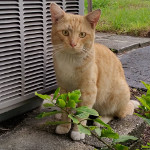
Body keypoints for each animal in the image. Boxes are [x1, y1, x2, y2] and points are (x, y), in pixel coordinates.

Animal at [49, 2, 139, 141]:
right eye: (65, 32)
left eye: (82, 34)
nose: (73, 44)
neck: (70, 61)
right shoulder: (64, 89)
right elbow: (65, 110)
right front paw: (64, 125)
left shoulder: (88, 91)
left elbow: (83, 112)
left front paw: (78, 131)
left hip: (119, 94)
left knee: (117, 113)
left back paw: (101, 119)